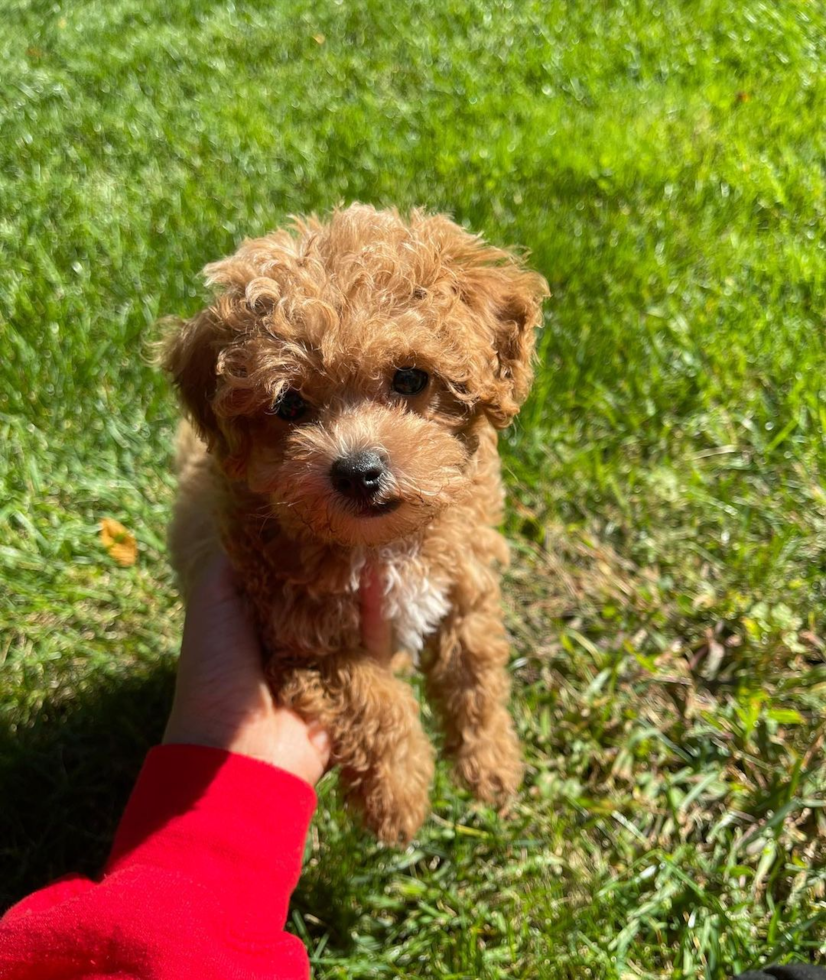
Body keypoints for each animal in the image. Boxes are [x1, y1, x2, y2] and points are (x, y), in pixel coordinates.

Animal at [162, 205, 548, 844]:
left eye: (411, 378)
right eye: (289, 405)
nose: (358, 471)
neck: (384, 546)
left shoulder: (466, 580)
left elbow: (475, 667)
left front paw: (490, 763)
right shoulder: (296, 631)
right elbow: (371, 697)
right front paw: (397, 797)